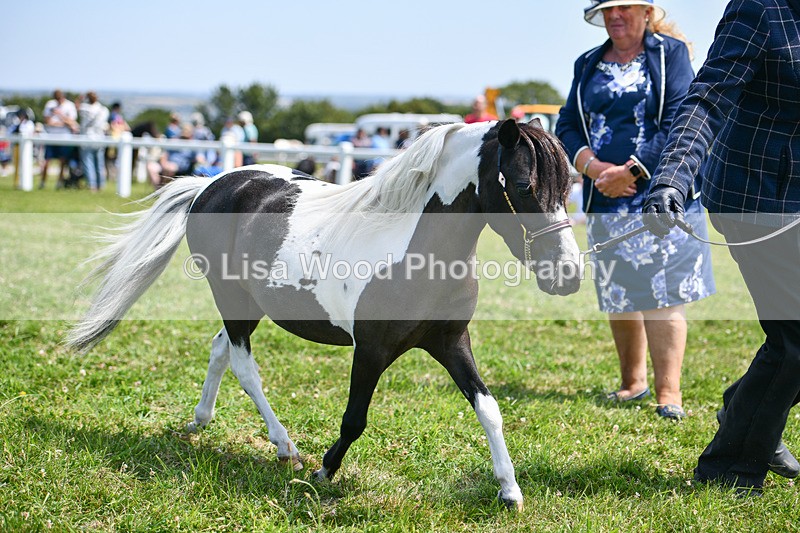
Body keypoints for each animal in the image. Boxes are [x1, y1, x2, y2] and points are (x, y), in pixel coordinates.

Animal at [67, 118, 581, 511]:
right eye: (523, 185)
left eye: (569, 185)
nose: (569, 275)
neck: (418, 251)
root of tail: (211, 183)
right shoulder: (371, 348)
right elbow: (355, 418)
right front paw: (322, 471)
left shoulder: (450, 342)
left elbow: (489, 408)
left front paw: (510, 491)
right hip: (232, 298)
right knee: (243, 366)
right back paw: (285, 448)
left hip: (249, 304)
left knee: (219, 350)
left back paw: (199, 422)